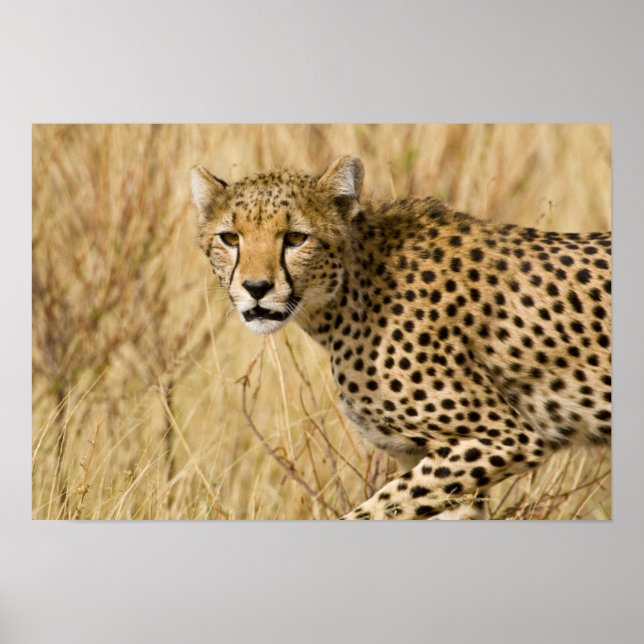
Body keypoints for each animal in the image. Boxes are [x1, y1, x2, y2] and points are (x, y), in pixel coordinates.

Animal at [191, 155, 611, 520]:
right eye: (230, 238)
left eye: (295, 238)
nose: (256, 288)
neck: (350, 291)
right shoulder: (448, 471)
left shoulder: (504, 439)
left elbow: (369, 514)